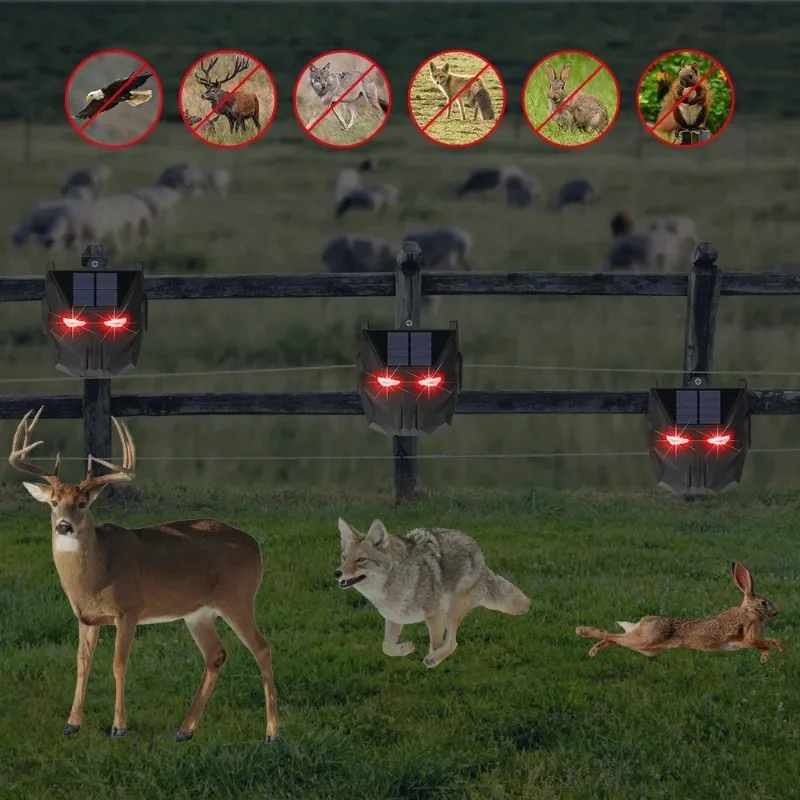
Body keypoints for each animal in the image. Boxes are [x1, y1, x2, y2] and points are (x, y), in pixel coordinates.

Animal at [334, 518, 530, 668]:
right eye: (344, 558)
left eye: (361, 560)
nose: (337, 573)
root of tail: (476, 547)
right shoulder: (394, 618)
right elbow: (387, 647)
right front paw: (407, 649)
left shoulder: (435, 615)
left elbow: (437, 644)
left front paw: (432, 660)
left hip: (453, 609)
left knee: (452, 642)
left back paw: (434, 660)